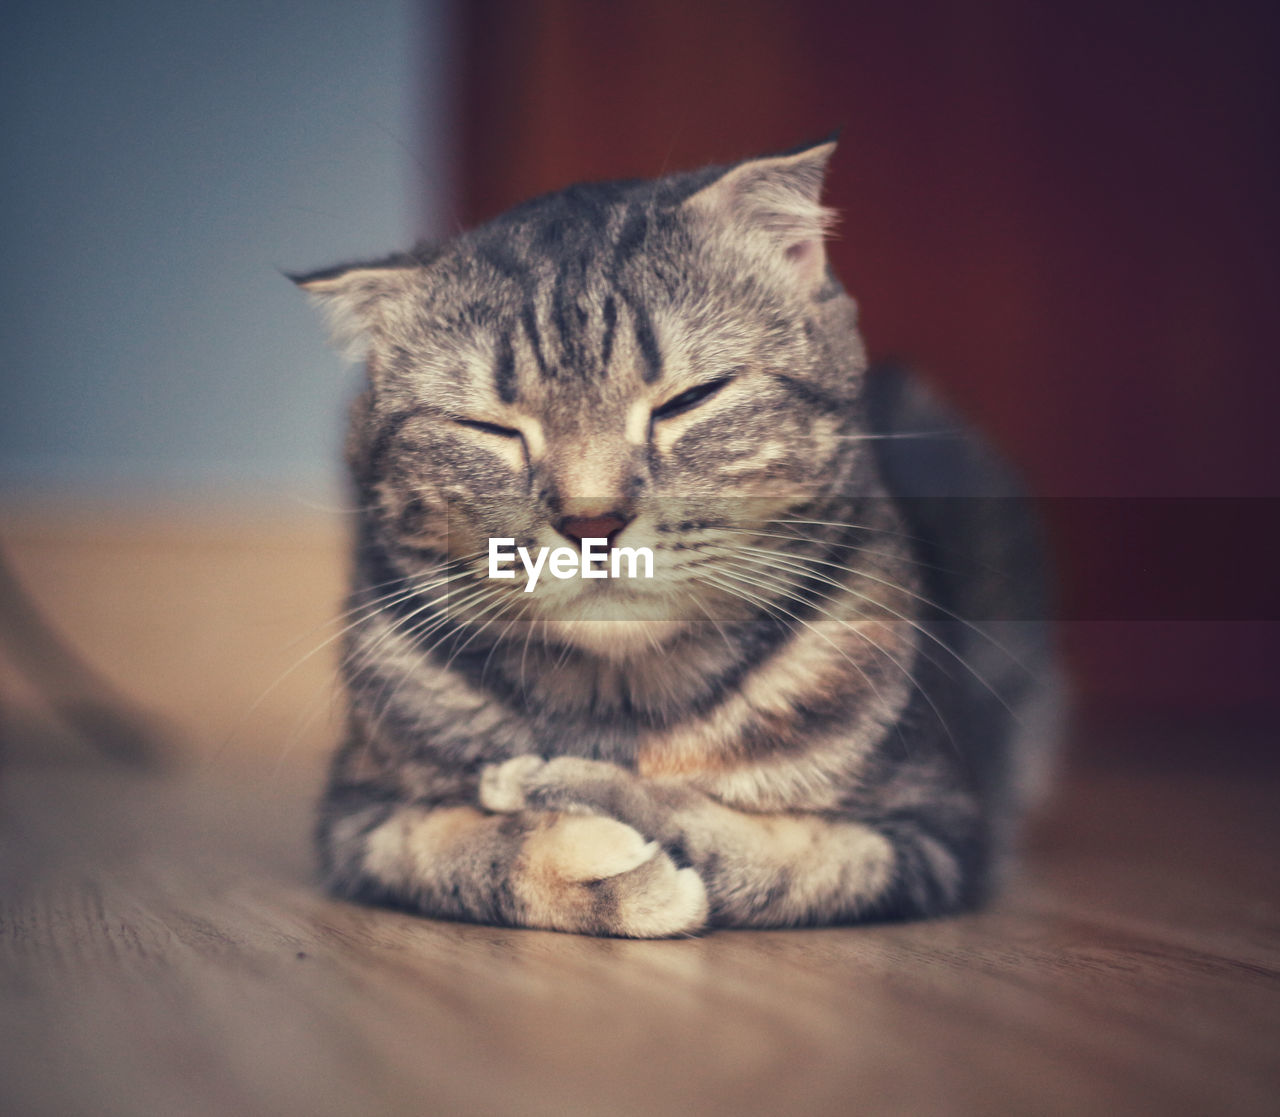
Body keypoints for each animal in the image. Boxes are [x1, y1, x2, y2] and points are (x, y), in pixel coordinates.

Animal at [293, 141, 1059, 941]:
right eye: (490, 428)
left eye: (689, 400)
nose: (591, 521)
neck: (621, 709)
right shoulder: (356, 820)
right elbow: (453, 852)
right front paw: (584, 856)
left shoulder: (936, 830)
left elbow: (780, 851)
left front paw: (565, 784)